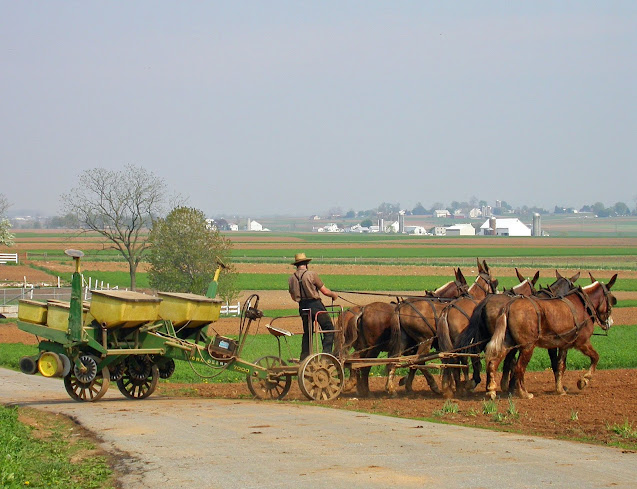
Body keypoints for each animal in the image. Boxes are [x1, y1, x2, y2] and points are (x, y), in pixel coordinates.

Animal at [332, 264, 468, 394]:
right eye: (466, 288)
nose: (468, 299)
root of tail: (361, 310)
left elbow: (413, 365)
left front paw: (406, 384)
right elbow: (422, 363)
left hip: (364, 346)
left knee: (355, 361)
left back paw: (356, 386)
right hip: (373, 348)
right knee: (362, 364)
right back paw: (361, 388)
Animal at [484, 272, 612, 398]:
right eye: (611, 299)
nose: (610, 322)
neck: (583, 305)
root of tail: (507, 307)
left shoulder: (564, 346)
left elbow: (561, 366)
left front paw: (560, 389)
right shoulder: (582, 343)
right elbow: (595, 357)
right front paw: (583, 380)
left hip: (508, 343)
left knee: (494, 362)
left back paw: (492, 390)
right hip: (527, 347)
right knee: (519, 368)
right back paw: (523, 393)